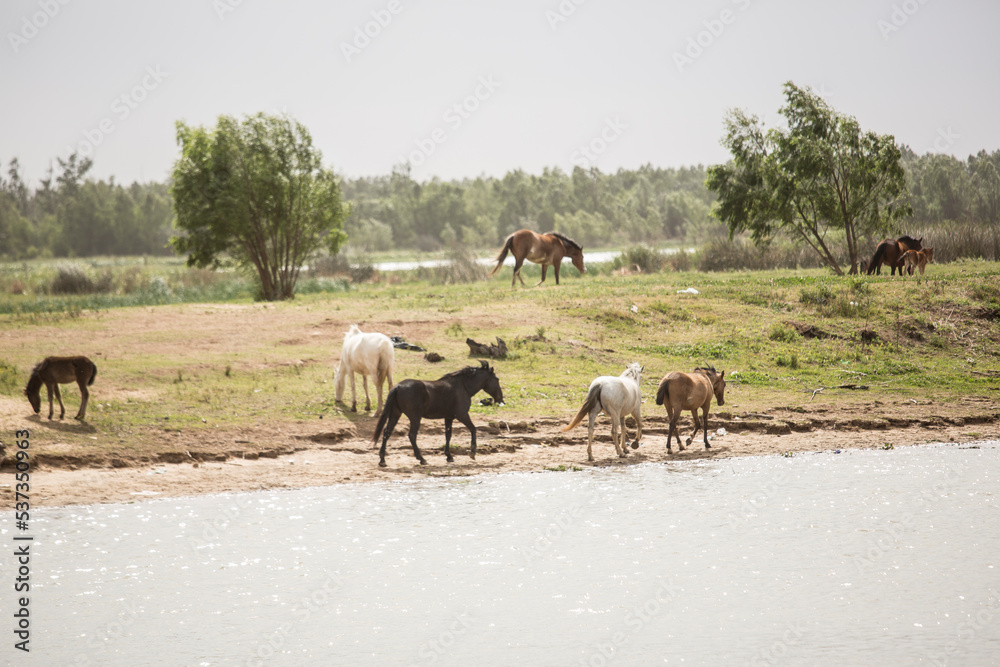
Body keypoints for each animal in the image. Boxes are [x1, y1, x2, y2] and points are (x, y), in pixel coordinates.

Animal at [374, 362, 504, 468]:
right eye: (497, 379)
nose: (501, 399)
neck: (463, 386)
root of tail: (398, 386)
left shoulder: (449, 417)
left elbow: (448, 435)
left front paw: (449, 456)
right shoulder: (462, 415)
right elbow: (473, 429)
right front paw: (472, 452)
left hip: (395, 414)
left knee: (387, 432)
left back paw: (382, 460)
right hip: (415, 417)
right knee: (412, 435)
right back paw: (422, 459)